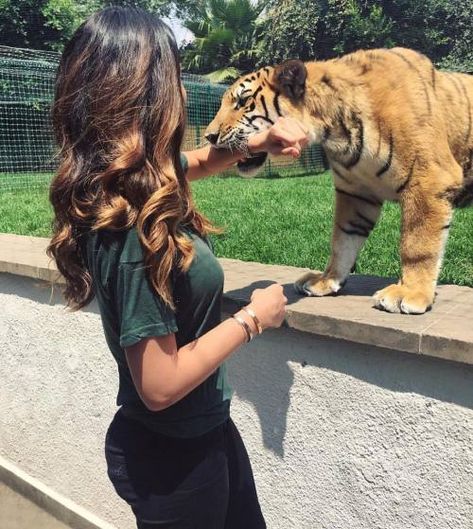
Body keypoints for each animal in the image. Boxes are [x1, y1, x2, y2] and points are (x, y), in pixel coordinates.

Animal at [205, 47, 472, 314]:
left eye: (242, 102)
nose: (209, 136)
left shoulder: (427, 180)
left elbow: (417, 244)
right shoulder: (355, 192)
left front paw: (410, 293)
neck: (335, 130)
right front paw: (326, 280)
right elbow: (343, 240)